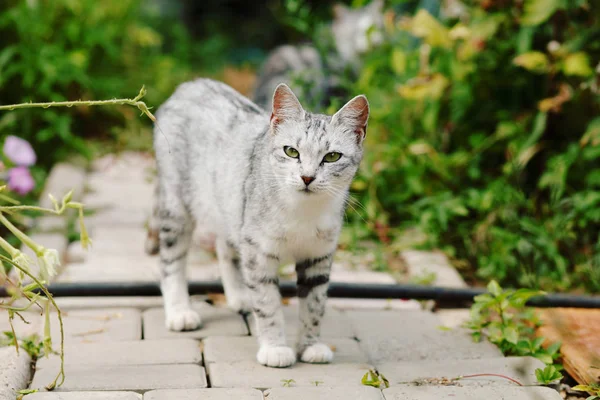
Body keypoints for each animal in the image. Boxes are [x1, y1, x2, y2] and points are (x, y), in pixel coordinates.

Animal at [148, 78, 368, 368]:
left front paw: (310, 346)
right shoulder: (259, 253)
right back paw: (179, 312)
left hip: (230, 206)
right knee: (171, 260)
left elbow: (315, 304)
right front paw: (275, 348)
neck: (302, 212)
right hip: (177, 206)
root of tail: (190, 84)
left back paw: (239, 296)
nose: (307, 178)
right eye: (291, 151)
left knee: (224, 245)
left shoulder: (319, 256)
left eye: (332, 157)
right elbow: (268, 304)